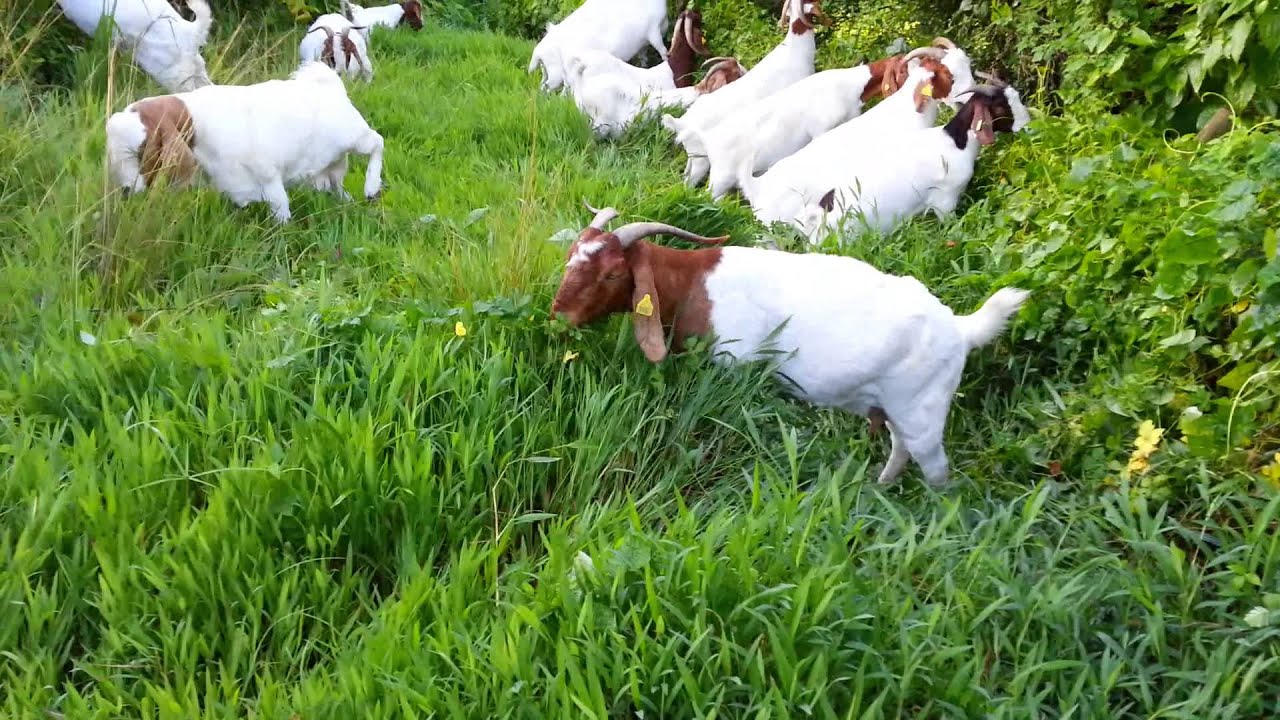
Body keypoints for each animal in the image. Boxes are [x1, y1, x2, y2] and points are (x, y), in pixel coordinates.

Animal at [105, 62, 385, 223]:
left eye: (141, 151)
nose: (126, 191)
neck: (195, 119)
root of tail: (329, 85)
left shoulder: (269, 176)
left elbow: (280, 211)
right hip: (329, 163)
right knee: (336, 184)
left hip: (353, 135)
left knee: (377, 143)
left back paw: (371, 187)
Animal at [528, 0, 669, 92]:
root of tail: (537, 53)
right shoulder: (653, 31)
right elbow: (663, 51)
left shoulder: (643, 43)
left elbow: (644, 57)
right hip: (555, 72)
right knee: (548, 86)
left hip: (547, 69)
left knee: (544, 84)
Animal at [550, 204, 1029, 486]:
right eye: (570, 258)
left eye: (612, 273)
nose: (559, 315)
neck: (691, 285)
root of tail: (960, 328)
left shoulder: (734, 364)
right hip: (897, 407)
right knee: (901, 446)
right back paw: (881, 485)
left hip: (924, 411)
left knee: (935, 467)